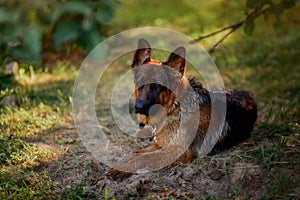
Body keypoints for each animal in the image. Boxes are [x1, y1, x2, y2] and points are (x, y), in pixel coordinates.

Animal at [106, 38, 256, 178]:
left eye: (157, 85)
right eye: (139, 82)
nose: (139, 107)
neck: (175, 109)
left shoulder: (177, 150)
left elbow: (144, 157)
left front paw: (124, 168)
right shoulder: (160, 144)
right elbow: (134, 153)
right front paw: (120, 163)